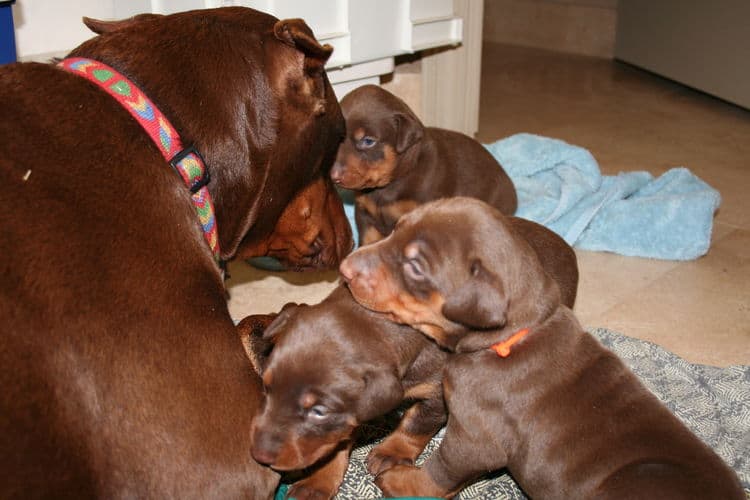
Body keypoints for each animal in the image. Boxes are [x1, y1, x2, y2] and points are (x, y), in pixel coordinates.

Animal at [340, 198, 748, 500]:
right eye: (395, 229)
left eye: (416, 266)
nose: (345, 268)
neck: (515, 336)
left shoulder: (475, 436)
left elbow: (441, 467)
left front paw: (400, 478)